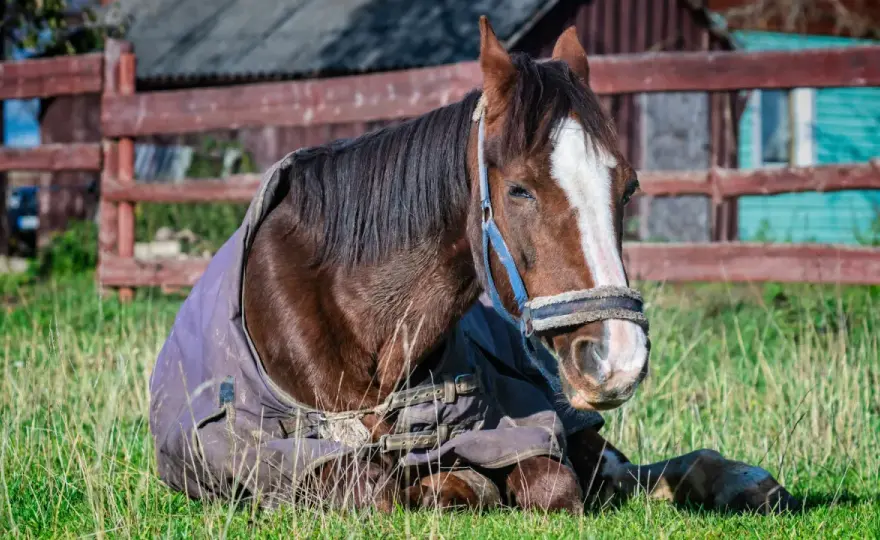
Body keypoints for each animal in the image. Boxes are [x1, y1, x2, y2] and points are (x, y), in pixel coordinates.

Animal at [148, 17, 800, 514]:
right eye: (519, 189)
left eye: (629, 186)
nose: (618, 358)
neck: (360, 322)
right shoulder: (295, 461)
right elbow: (382, 487)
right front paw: (454, 481)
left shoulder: (525, 426)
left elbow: (553, 482)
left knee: (614, 467)